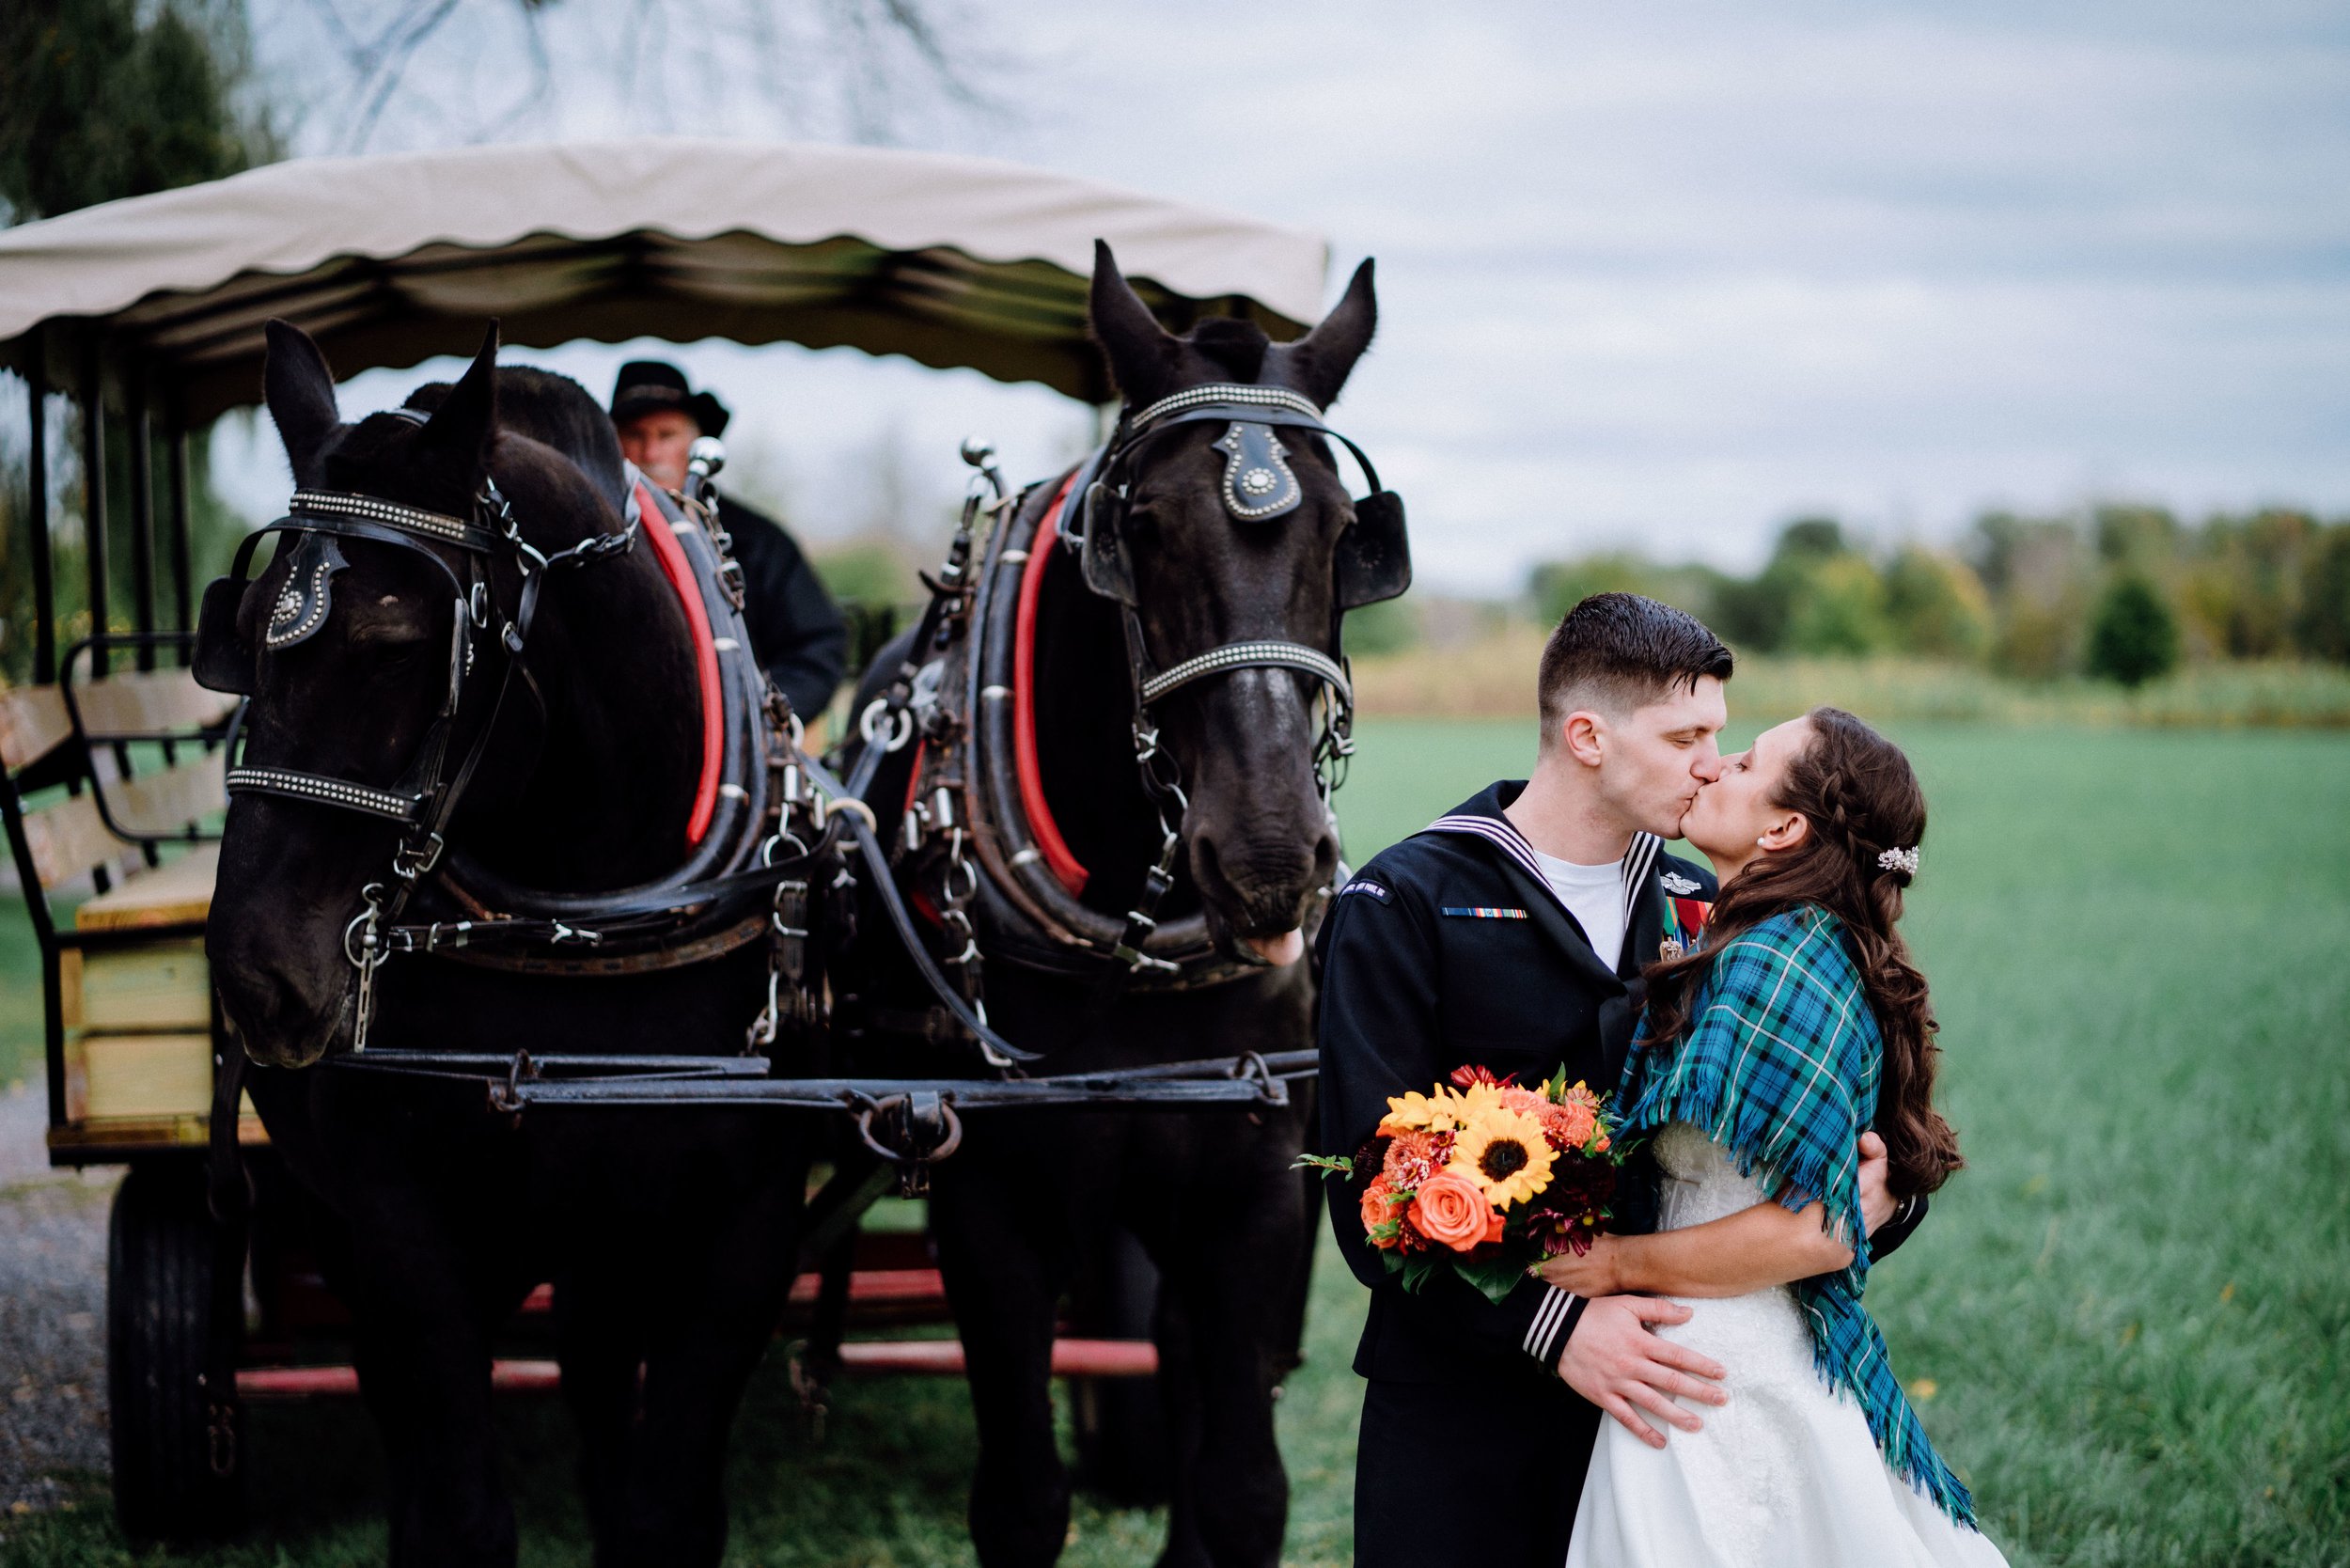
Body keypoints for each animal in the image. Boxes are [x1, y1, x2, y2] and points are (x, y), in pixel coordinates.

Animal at [207, 324, 808, 1560]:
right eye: (239, 637)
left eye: (396, 646)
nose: (255, 971)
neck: (584, 920)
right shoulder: (398, 1223)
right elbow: (461, 1502)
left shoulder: (745, 1232)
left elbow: (666, 1505)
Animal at [846, 251, 1382, 1560]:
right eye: (1139, 529)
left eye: (1349, 534)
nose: (1267, 857)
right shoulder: (982, 1199)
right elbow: (1020, 1499)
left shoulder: (1251, 1194)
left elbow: (1240, 1490)